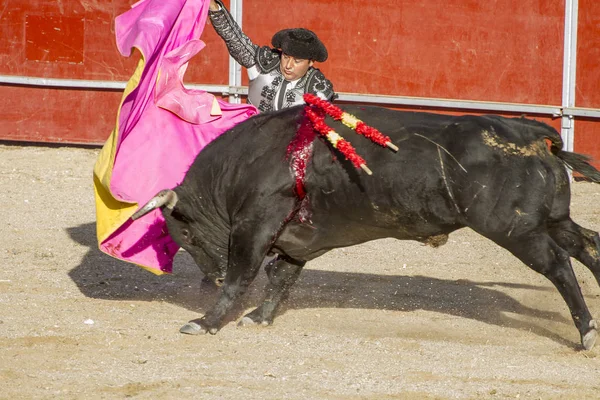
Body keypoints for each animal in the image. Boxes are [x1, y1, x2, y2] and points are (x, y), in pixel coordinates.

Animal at [134, 104, 600, 350]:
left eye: (185, 234)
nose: (209, 278)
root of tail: (532, 133)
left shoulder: (255, 226)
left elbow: (243, 276)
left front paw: (205, 322)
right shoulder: (297, 241)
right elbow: (281, 278)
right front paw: (259, 318)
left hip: (516, 230)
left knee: (558, 264)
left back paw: (587, 332)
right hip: (552, 220)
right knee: (588, 245)